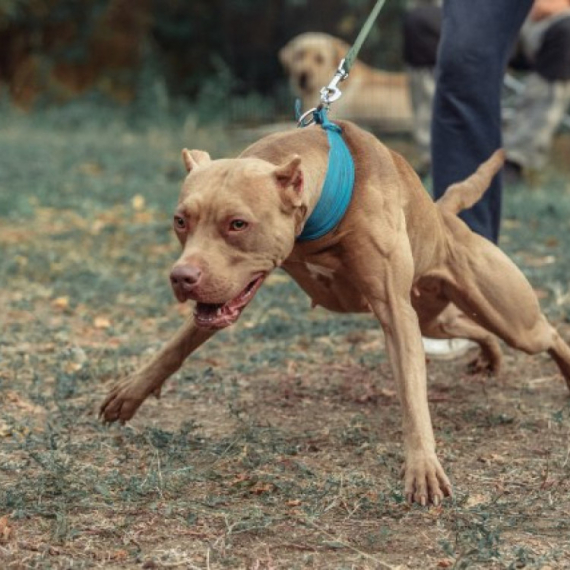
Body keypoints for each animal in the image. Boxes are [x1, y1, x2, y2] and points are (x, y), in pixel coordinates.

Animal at [100, 121, 568, 506]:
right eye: (180, 221)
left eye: (237, 224)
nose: (182, 277)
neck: (323, 209)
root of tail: (442, 213)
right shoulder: (223, 295)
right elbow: (177, 344)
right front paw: (132, 391)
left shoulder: (396, 315)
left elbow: (413, 397)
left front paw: (422, 466)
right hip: (434, 315)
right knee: (469, 326)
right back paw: (489, 355)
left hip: (510, 318)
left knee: (547, 333)